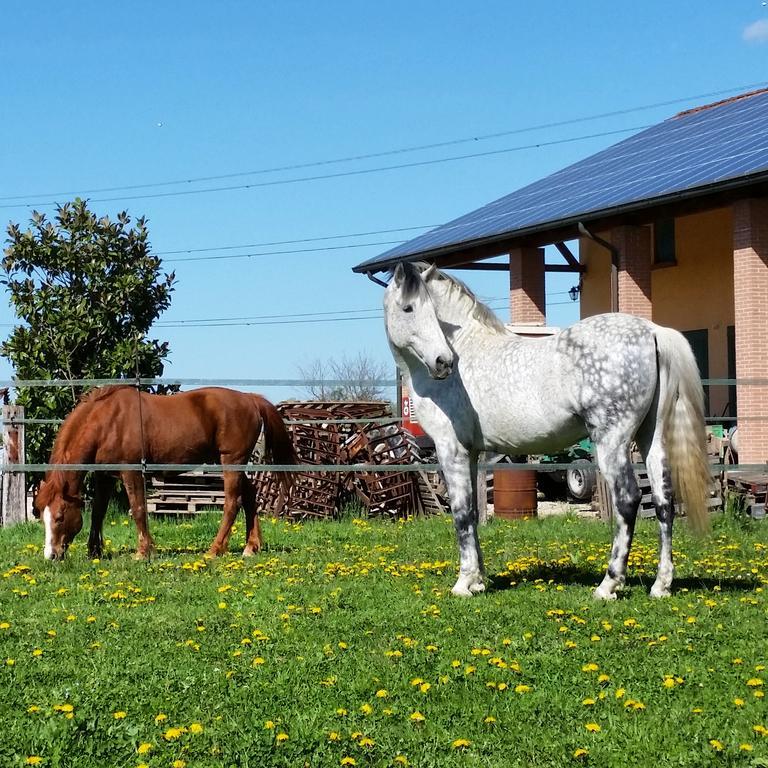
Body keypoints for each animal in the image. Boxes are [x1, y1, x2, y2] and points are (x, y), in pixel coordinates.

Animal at [34, 388, 296, 560]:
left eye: (59, 517)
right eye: (40, 516)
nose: (51, 555)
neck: (108, 421)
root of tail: (250, 399)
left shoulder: (131, 472)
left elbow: (139, 509)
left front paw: (143, 552)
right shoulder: (104, 476)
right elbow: (98, 512)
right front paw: (94, 551)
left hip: (231, 461)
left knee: (233, 502)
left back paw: (214, 550)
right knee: (250, 496)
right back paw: (251, 547)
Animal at [384, 262, 708, 600]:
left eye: (430, 312)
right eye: (408, 308)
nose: (443, 362)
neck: (466, 350)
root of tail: (653, 331)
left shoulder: (451, 450)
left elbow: (460, 512)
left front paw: (463, 583)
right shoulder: (470, 453)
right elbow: (473, 512)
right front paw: (479, 581)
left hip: (612, 441)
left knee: (628, 500)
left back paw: (608, 585)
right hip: (651, 438)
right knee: (663, 500)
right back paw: (661, 585)